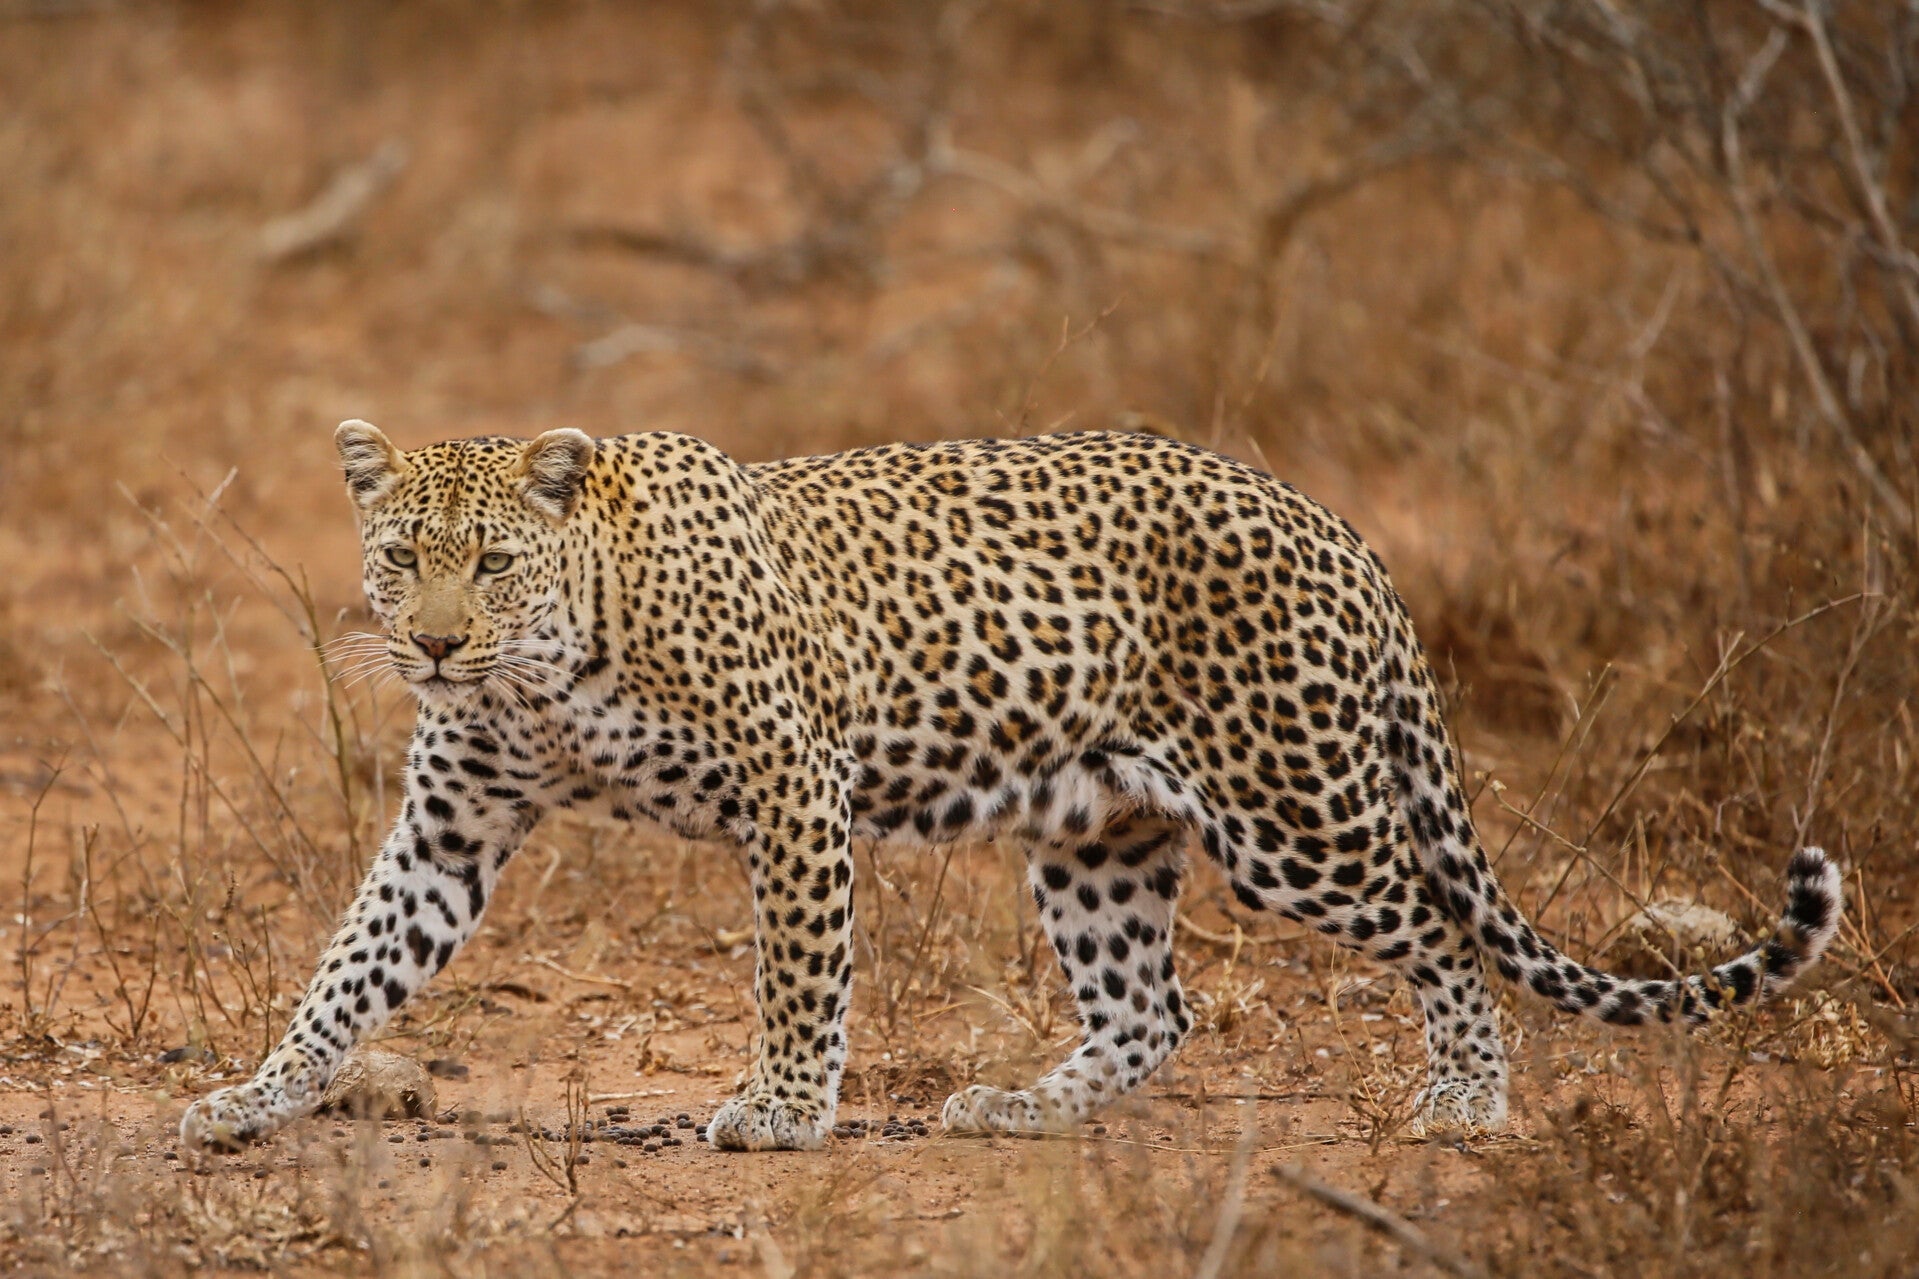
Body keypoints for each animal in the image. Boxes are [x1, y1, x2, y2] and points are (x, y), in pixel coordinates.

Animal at [180, 421, 1842, 1153]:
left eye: (493, 561)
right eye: (405, 555)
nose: (433, 641)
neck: (548, 664)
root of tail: (1331, 521)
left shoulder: (792, 785)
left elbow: (800, 974)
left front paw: (780, 1111)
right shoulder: (453, 817)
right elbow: (353, 961)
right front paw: (256, 1093)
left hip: (1290, 808)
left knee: (1434, 926)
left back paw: (1461, 1098)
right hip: (1098, 828)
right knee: (1152, 1006)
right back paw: (1022, 1106)